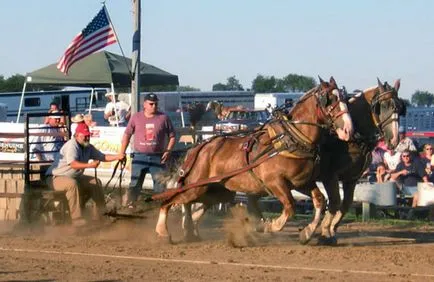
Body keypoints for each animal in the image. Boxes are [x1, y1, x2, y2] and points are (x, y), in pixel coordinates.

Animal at [154, 76, 354, 241]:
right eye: (330, 100)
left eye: (345, 99)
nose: (348, 129)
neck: (290, 138)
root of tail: (198, 148)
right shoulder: (276, 183)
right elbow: (290, 207)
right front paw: (269, 226)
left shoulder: (300, 182)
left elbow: (320, 200)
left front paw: (307, 232)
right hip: (197, 186)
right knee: (170, 201)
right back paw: (163, 232)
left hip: (218, 191)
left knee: (191, 206)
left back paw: (190, 231)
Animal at [302, 77, 404, 245]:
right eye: (382, 106)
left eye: (400, 108)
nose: (394, 139)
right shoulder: (329, 176)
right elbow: (335, 201)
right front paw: (325, 232)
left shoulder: (352, 178)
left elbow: (346, 203)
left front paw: (331, 230)